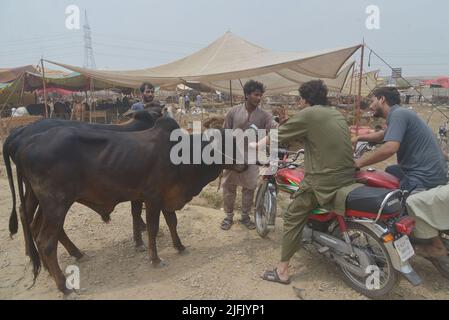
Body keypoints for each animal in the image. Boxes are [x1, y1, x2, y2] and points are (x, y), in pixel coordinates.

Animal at [14, 117, 245, 292]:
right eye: (226, 145)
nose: (244, 164)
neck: (182, 156)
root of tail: (26, 145)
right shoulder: (153, 198)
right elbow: (153, 228)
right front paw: (155, 259)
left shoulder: (166, 197)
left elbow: (172, 222)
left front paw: (180, 246)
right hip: (57, 203)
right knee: (46, 241)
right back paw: (63, 285)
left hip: (42, 203)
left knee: (38, 229)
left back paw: (55, 266)